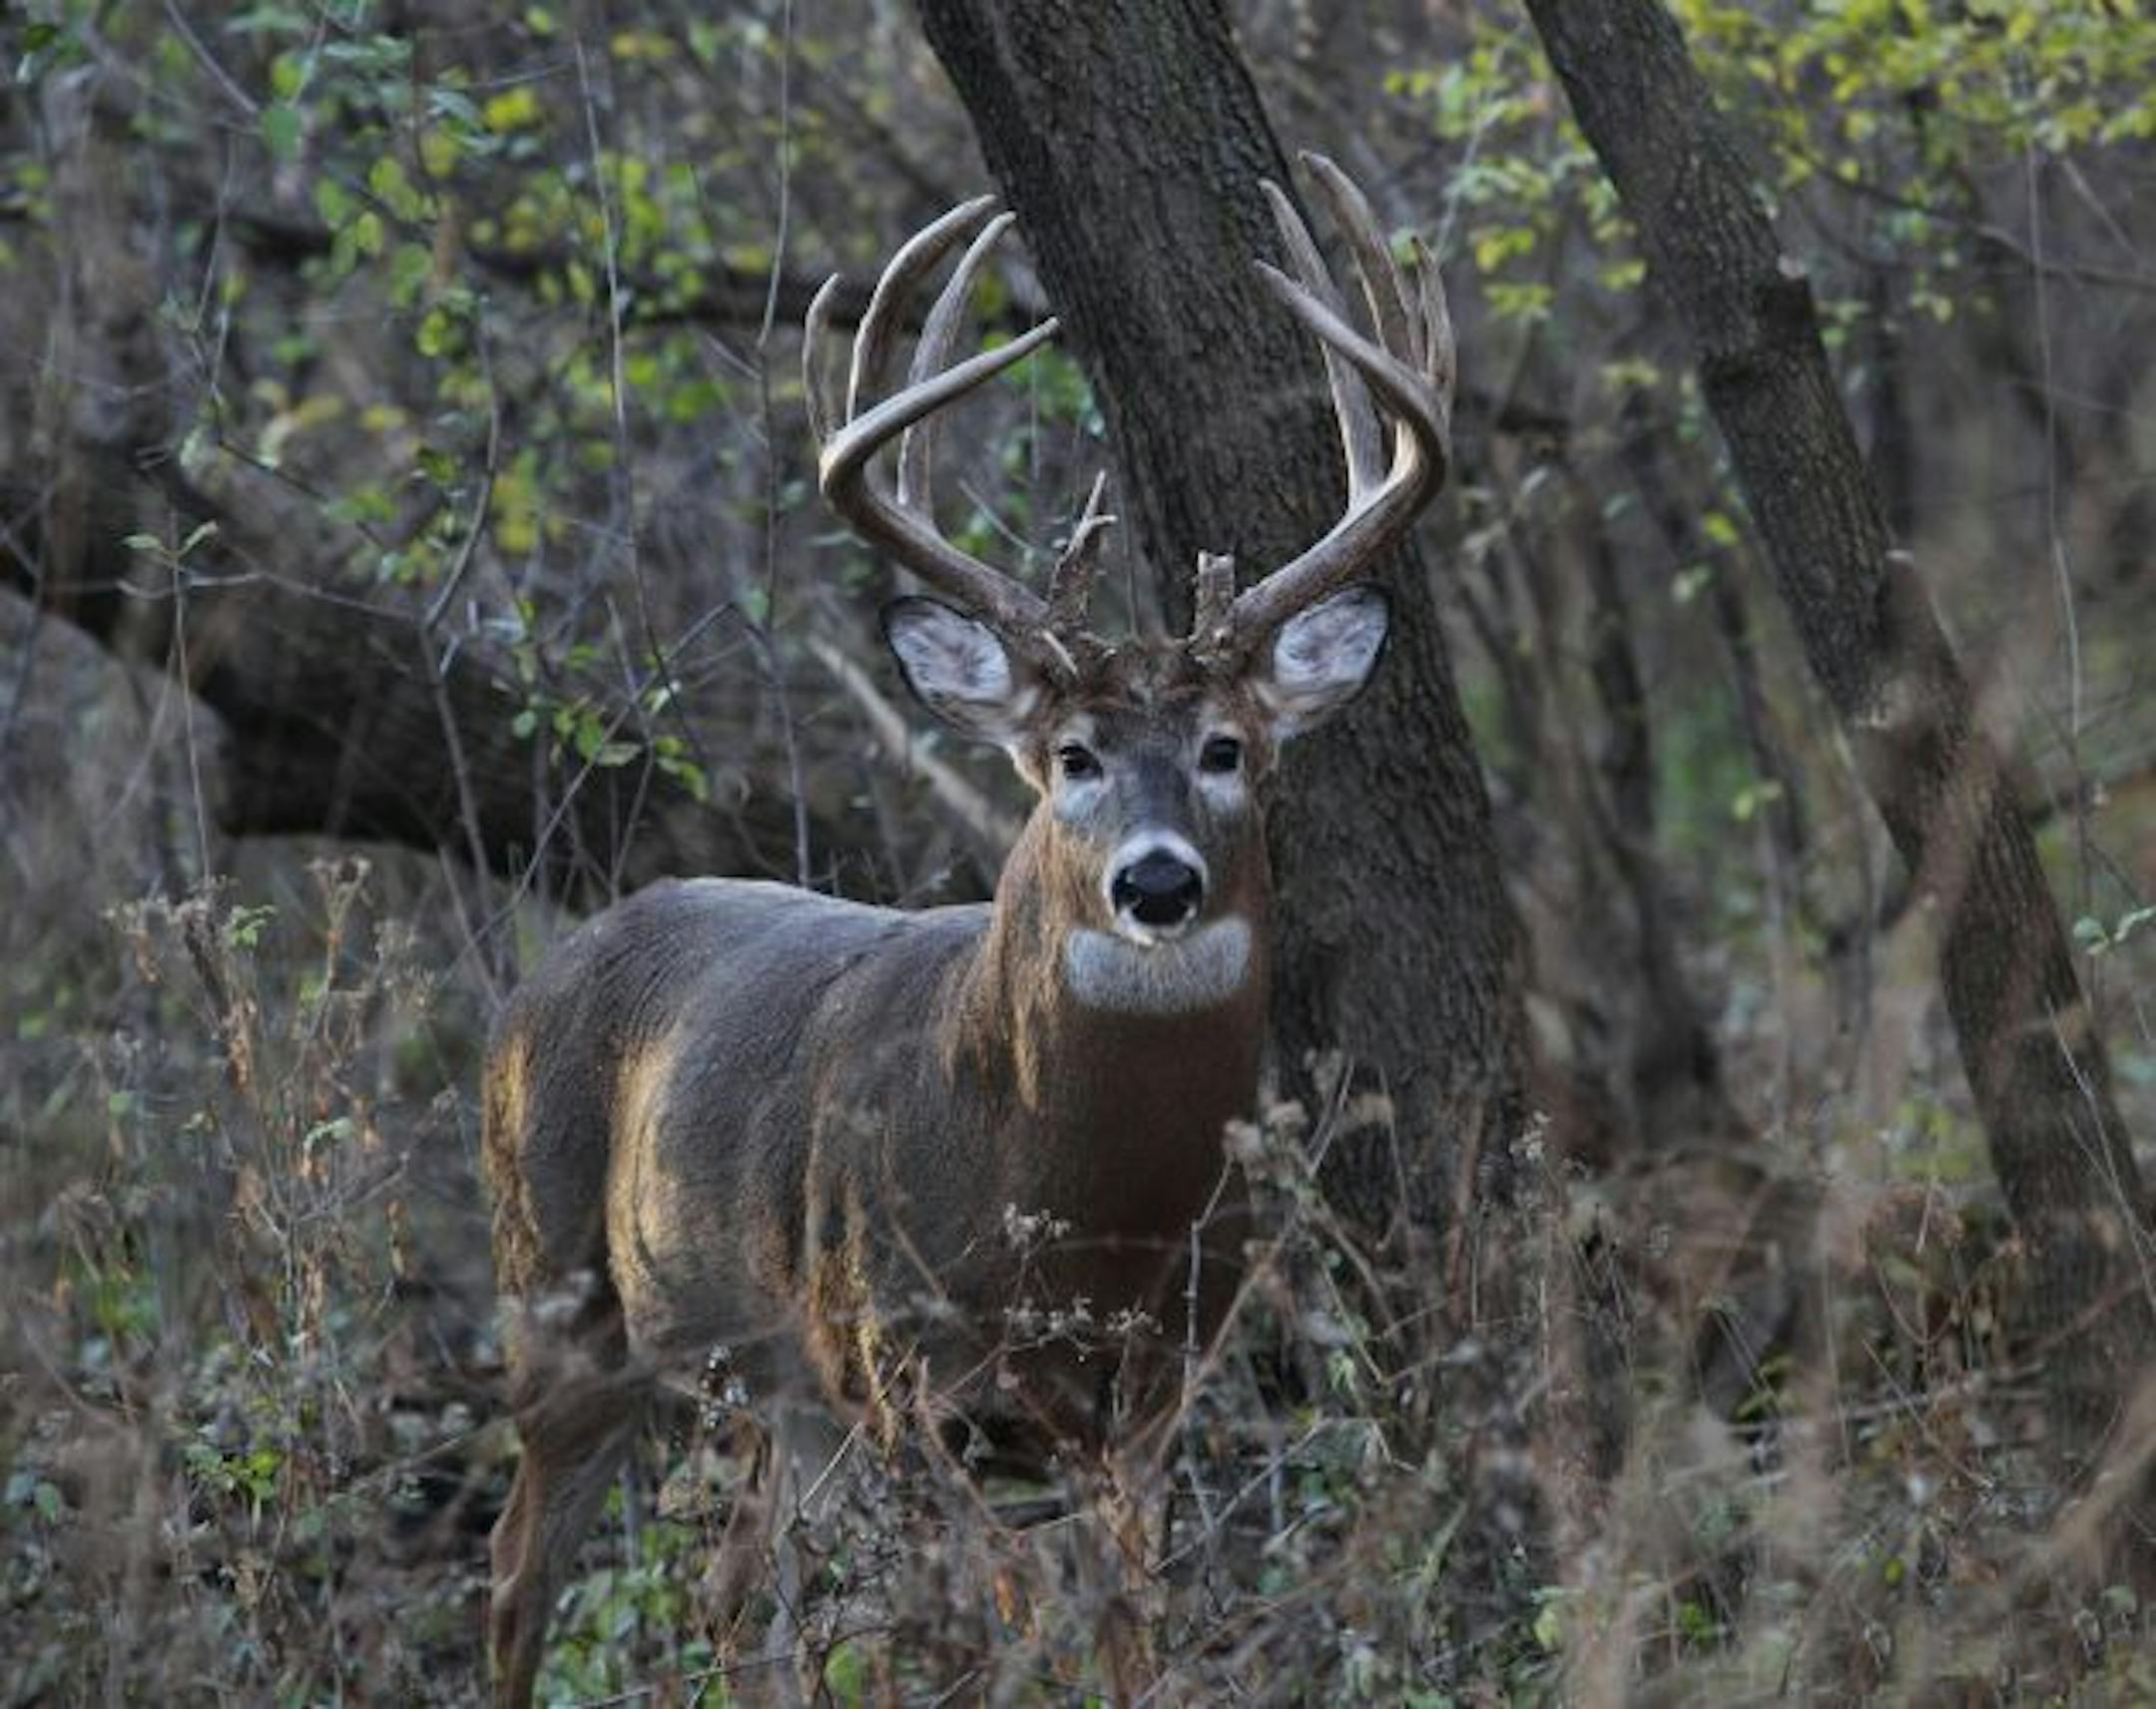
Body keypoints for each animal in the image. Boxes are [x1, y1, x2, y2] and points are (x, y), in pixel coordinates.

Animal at [480, 153, 1455, 1708]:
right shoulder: (903, 1362)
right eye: (1071, 756)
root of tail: (535, 984)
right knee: (523, 1570)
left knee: (736, 1596)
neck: (1072, 1204)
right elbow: (985, 1637)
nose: (1159, 884)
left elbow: (1123, 1633)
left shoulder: (1155, 1385)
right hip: (565, 1293)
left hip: (773, 1388)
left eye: (1229, 747)